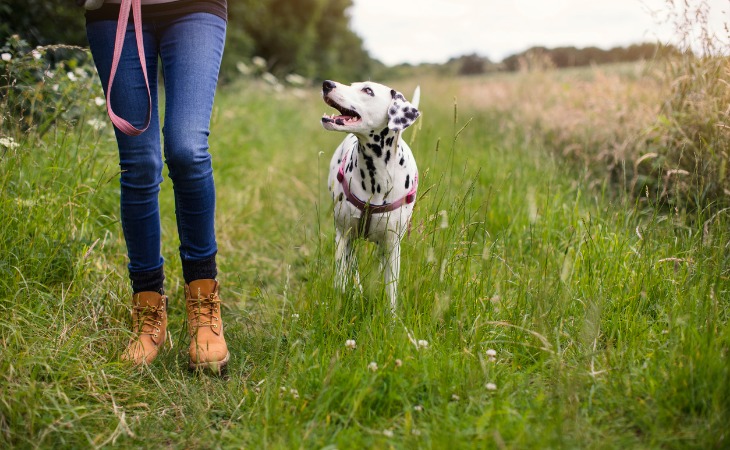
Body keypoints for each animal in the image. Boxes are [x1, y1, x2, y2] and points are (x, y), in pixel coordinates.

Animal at [320, 80, 420, 312]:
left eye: (367, 90)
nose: (327, 84)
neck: (376, 178)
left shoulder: (393, 246)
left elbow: (391, 291)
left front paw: (391, 318)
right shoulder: (343, 236)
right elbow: (341, 278)